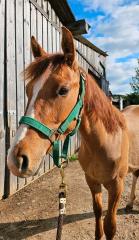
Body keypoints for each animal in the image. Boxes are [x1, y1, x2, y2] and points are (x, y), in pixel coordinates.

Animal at [7, 27, 139, 239]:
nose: (15, 159)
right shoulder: (92, 182)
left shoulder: (116, 186)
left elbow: (110, 226)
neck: (103, 143)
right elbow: (97, 216)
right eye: (28, 89)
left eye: (63, 90)